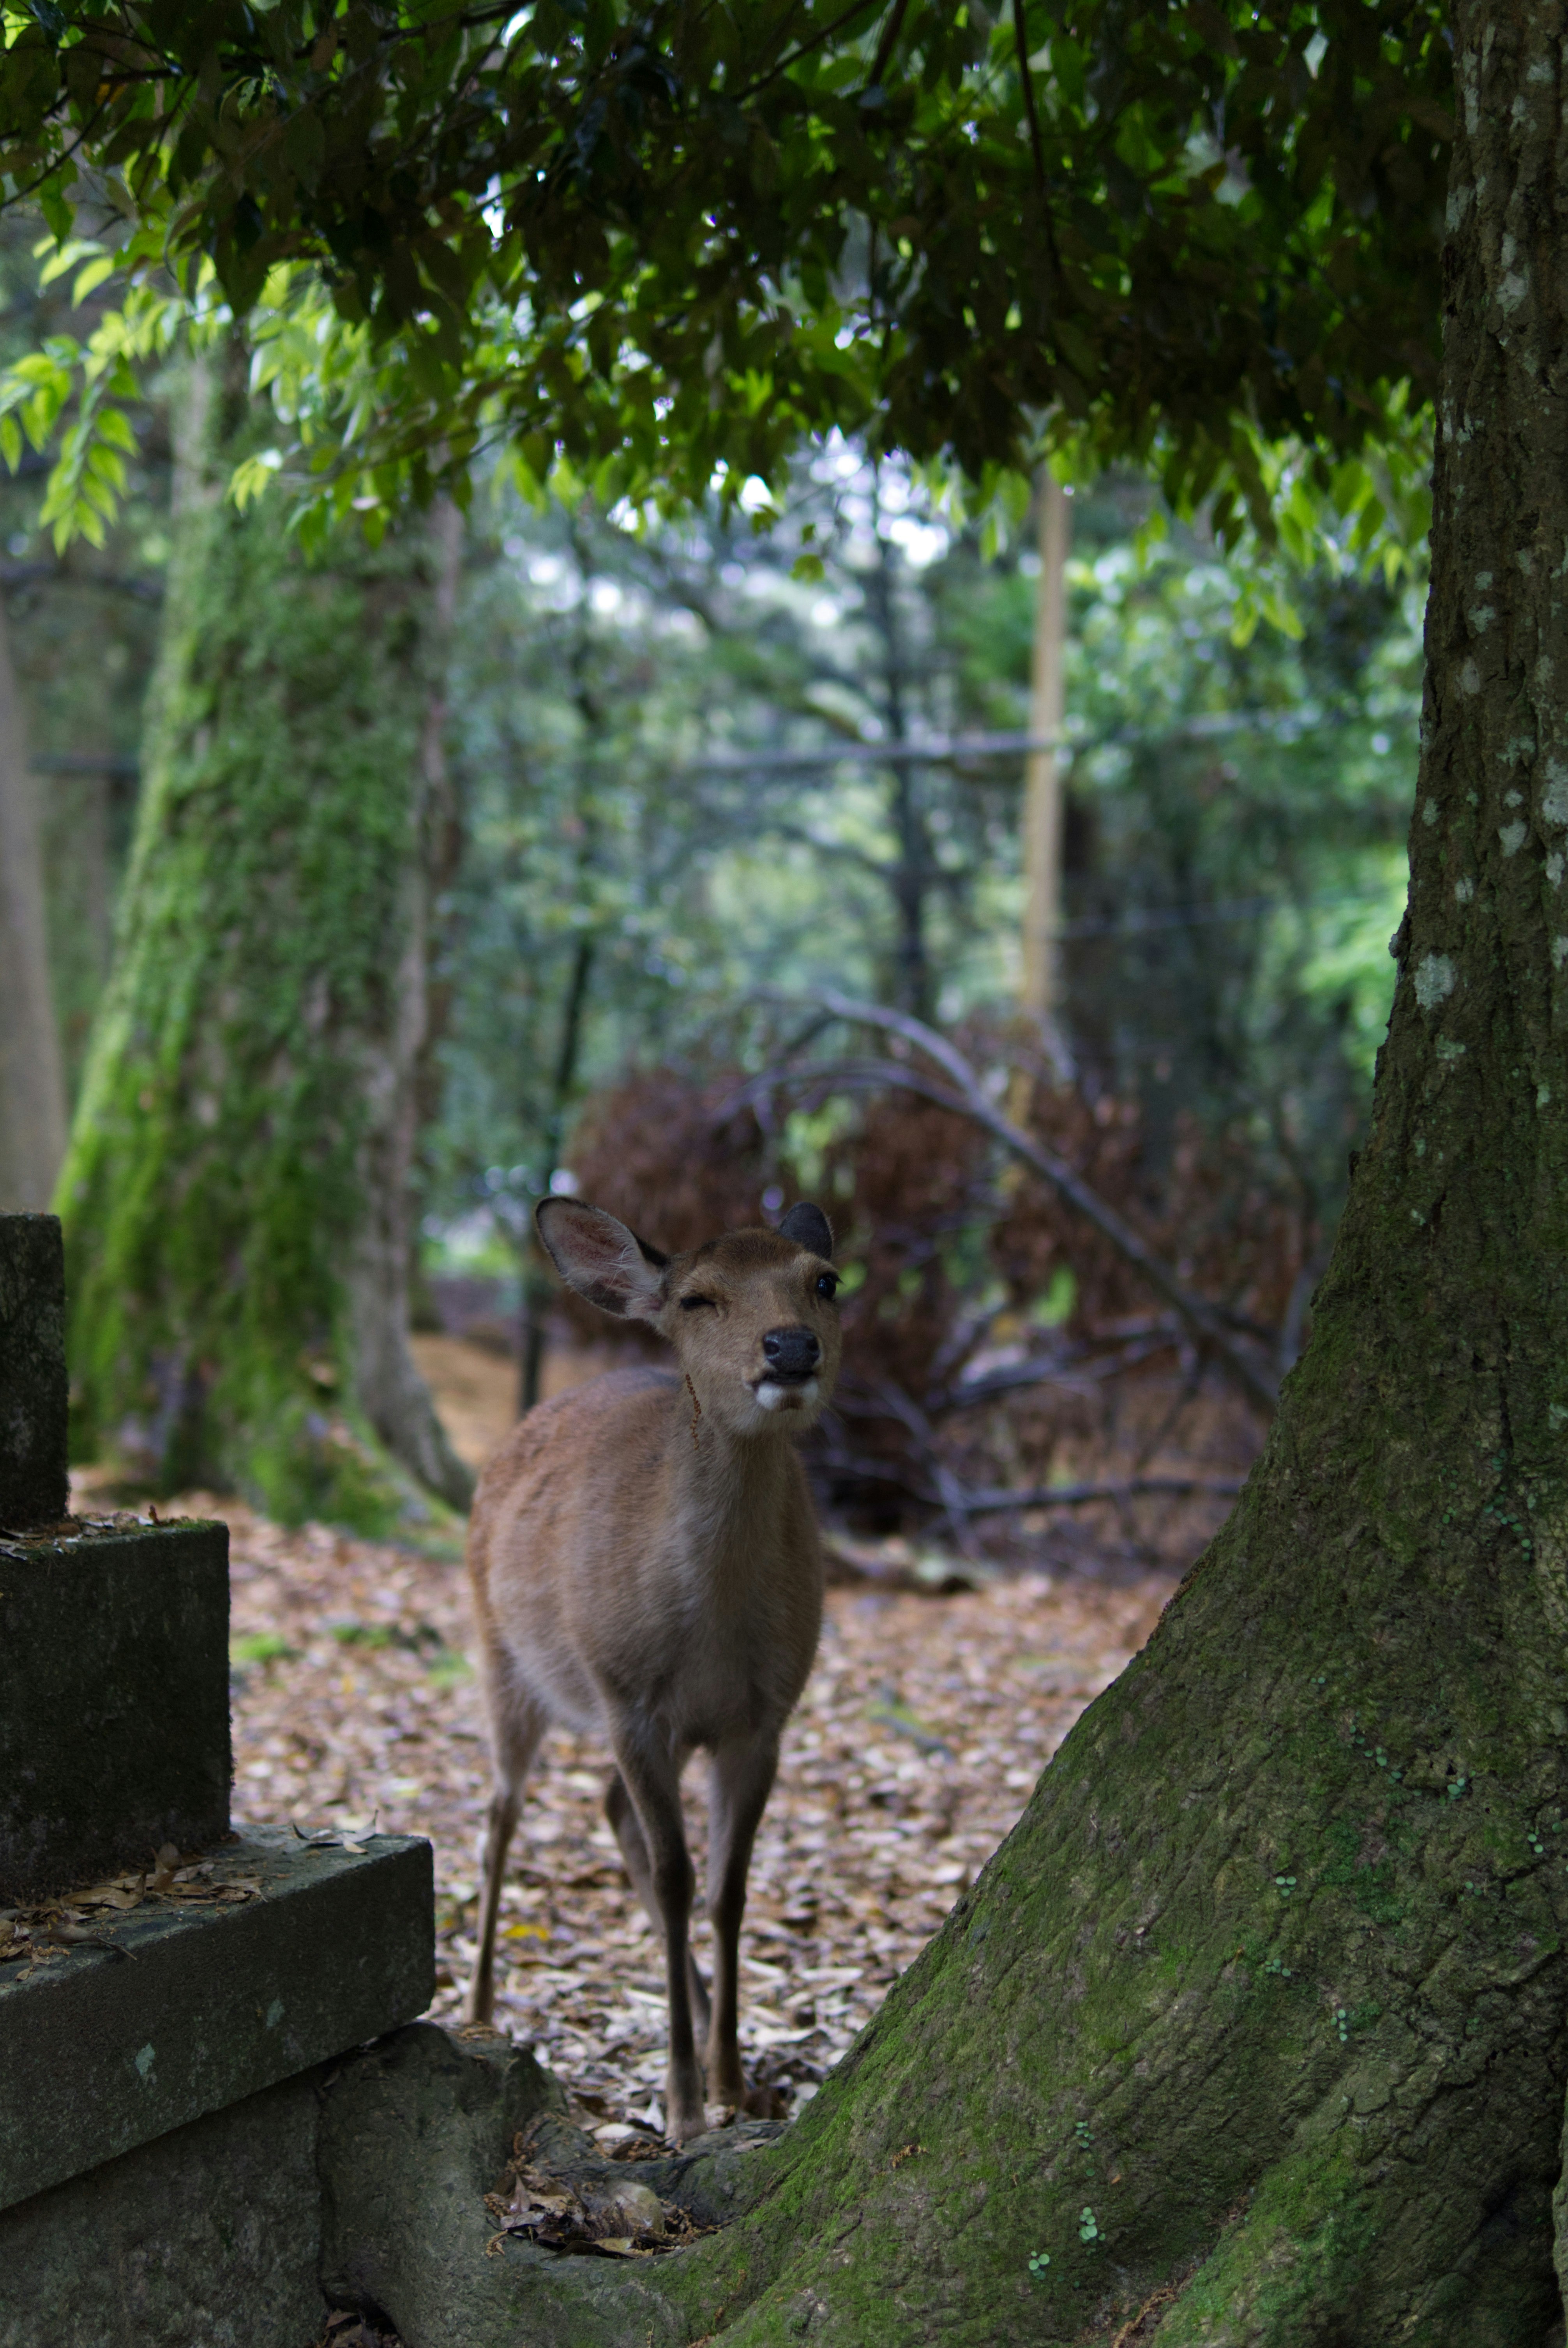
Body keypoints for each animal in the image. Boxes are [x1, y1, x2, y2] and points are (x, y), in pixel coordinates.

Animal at [463, 1193, 843, 2144]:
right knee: (499, 1815)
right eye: (697, 1298)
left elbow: (727, 1889)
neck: (712, 1629)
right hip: (503, 1656)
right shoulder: (625, 1694)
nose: (789, 1347)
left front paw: (733, 2081)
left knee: (605, 1808)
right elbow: (677, 1883)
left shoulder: (763, 1718)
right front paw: (681, 2103)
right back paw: (479, 2009)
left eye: (824, 1280)